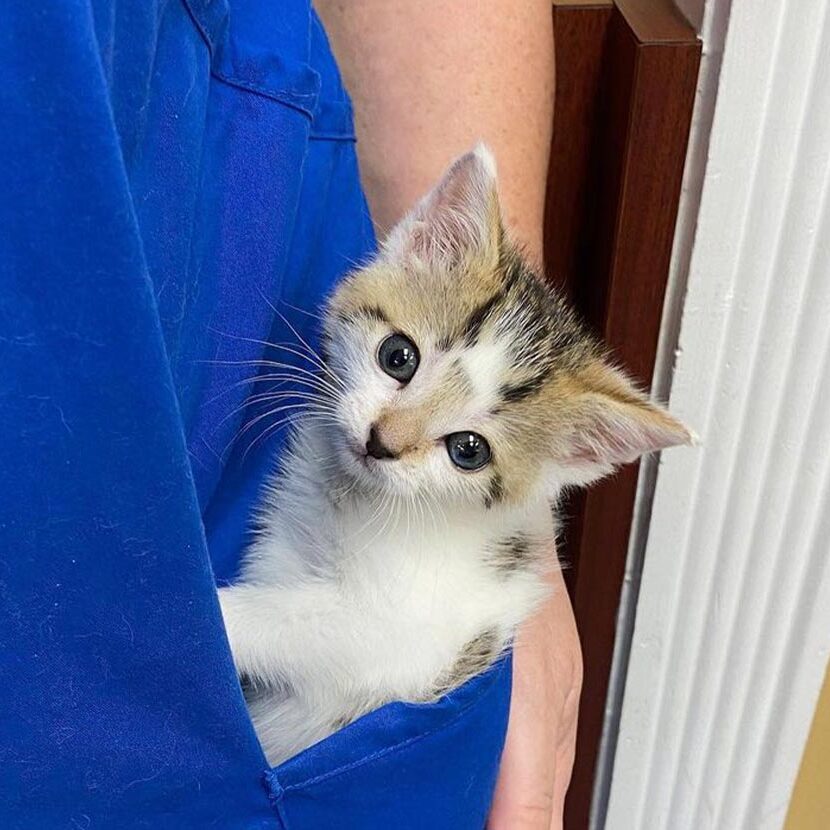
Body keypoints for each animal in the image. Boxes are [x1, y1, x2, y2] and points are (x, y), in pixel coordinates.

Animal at [218, 143, 692, 768]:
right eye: (398, 356)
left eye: (468, 450)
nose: (381, 442)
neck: (352, 497)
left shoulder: (406, 636)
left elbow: (305, 625)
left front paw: (215, 615)